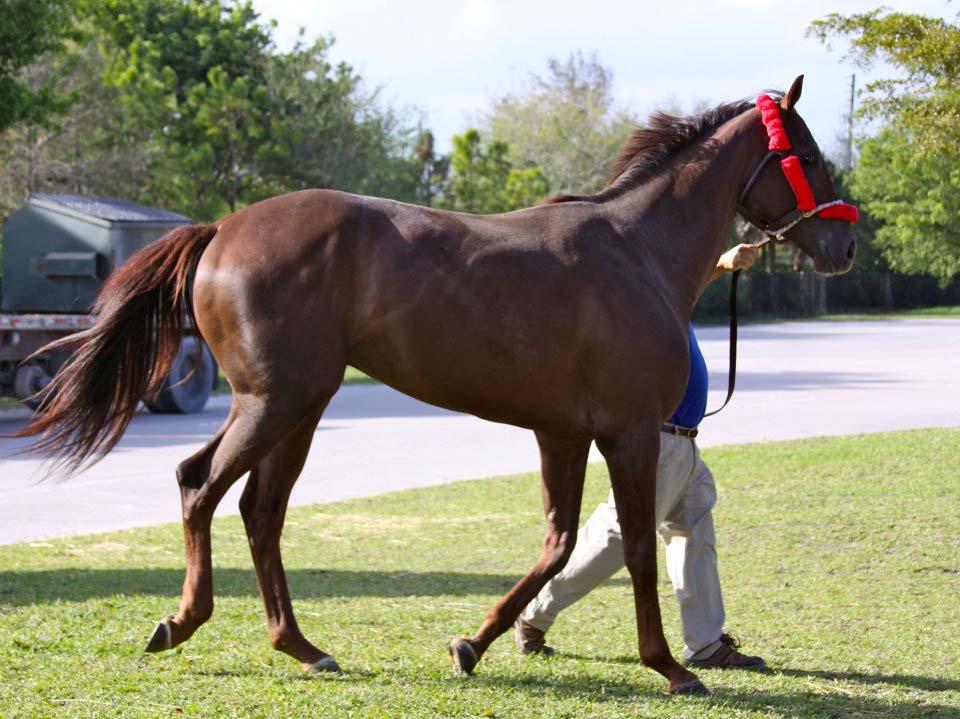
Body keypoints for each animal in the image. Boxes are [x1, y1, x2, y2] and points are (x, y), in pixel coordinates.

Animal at [20, 76, 856, 696]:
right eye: (811, 156)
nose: (845, 244)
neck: (635, 250)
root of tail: (221, 229)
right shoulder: (628, 431)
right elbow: (639, 546)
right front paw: (671, 666)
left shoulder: (563, 432)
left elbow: (557, 543)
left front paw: (472, 643)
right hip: (275, 402)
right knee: (202, 486)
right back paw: (185, 621)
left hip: (298, 407)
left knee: (260, 510)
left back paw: (303, 646)